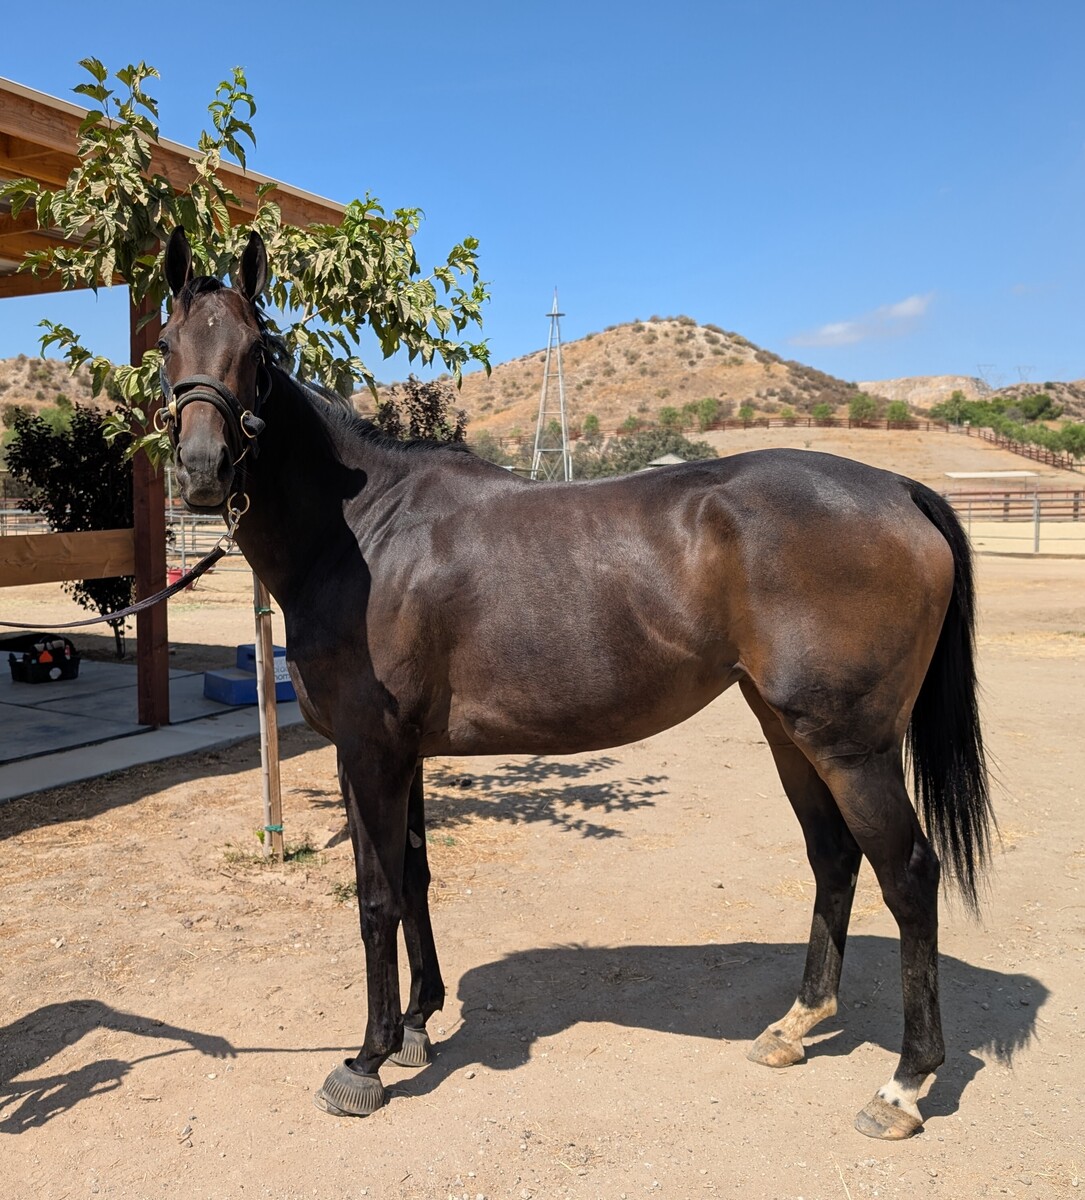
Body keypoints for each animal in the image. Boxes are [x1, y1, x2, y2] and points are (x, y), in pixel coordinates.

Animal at [158, 226, 993, 1139]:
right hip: (788, 732)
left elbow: (375, 896)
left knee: (907, 873)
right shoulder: (403, 754)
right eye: (165, 345)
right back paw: (794, 1027)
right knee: (833, 858)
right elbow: (414, 878)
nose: (200, 470)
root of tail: (898, 491)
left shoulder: (367, 751)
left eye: (257, 352)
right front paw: (417, 1026)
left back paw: (903, 1085)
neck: (366, 535)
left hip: (850, 747)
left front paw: (366, 1061)